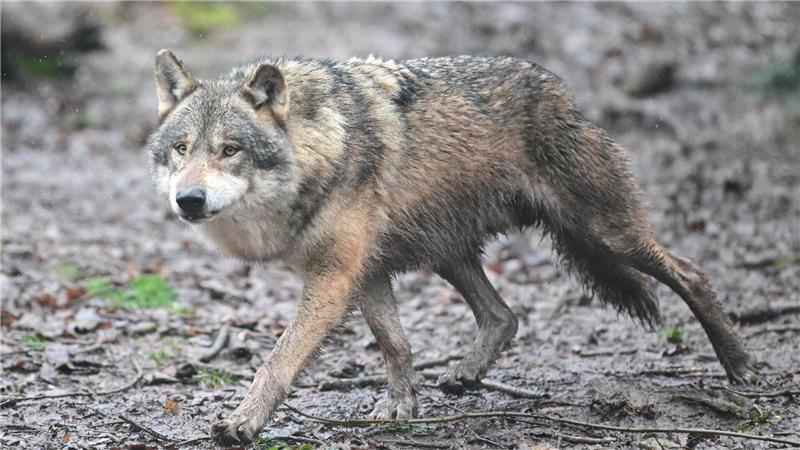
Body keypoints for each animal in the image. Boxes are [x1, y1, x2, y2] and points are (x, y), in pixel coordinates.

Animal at [146, 49, 758, 445]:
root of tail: (562, 91)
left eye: (229, 150)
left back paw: (741, 367)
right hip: (449, 253)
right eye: (181, 149)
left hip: (606, 233)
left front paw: (242, 423)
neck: (320, 147)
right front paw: (400, 408)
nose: (189, 199)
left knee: (692, 273)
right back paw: (465, 374)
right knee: (504, 316)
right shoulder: (365, 273)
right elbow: (395, 344)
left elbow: (277, 360)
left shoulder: (334, 278)